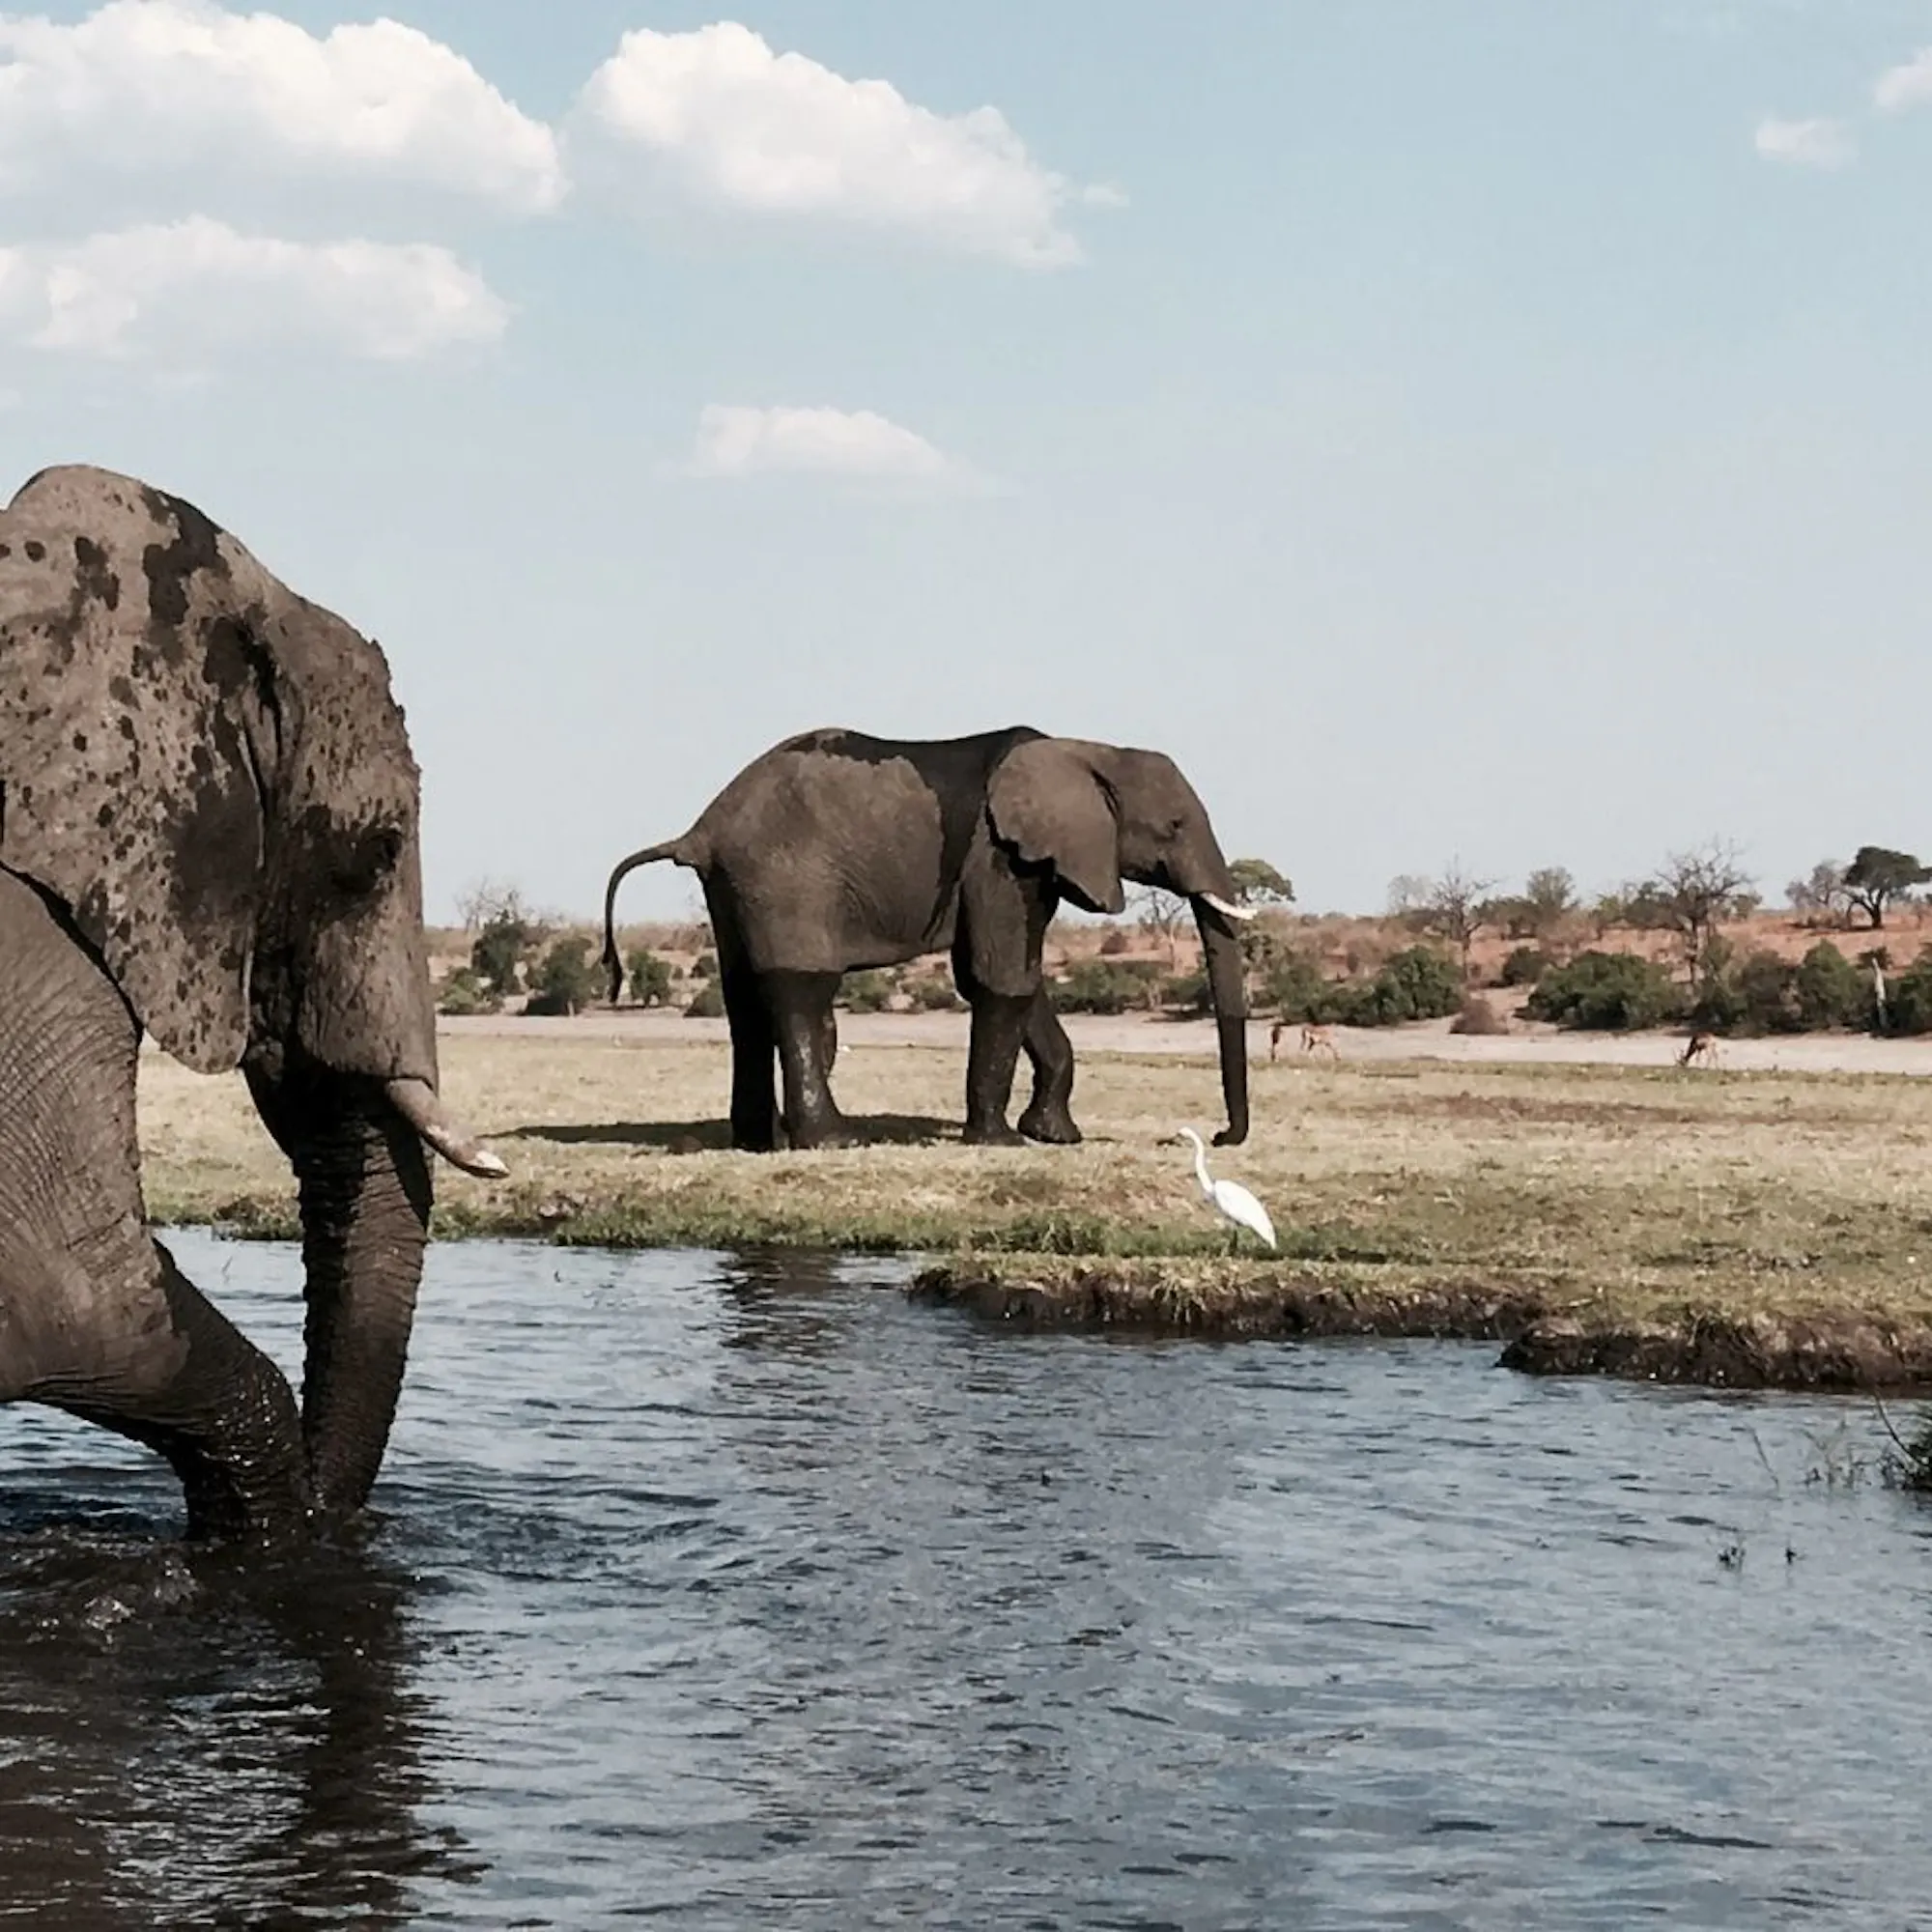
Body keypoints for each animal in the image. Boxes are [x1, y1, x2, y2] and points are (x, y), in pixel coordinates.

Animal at [601, 727, 1255, 1152]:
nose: (1220, 1136)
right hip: (785, 878)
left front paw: (1056, 1137)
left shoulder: (1027, 864)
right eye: (1174, 826)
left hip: (734, 886)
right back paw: (834, 1141)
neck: (1086, 749)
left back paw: (758, 1142)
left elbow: (1005, 976)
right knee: (799, 991)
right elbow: (1002, 977)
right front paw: (999, 1143)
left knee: (745, 1001)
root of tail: (701, 830)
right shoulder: (1001, 855)